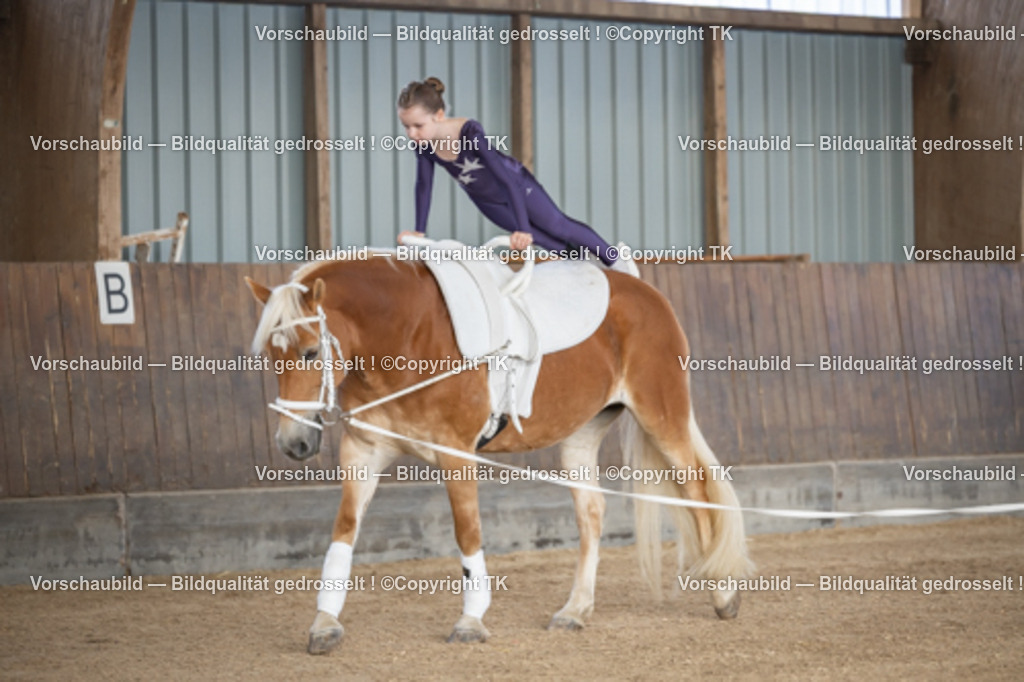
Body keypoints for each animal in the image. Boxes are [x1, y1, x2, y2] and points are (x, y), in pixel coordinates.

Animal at [245, 249, 753, 655]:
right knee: (592, 512)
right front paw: (324, 623)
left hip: (661, 417)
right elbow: (344, 531)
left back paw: (724, 596)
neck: (406, 334)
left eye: (311, 353)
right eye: (270, 356)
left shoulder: (455, 452)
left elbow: (467, 532)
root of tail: (643, 289)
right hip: (582, 436)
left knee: (697, 493)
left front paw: (471, 620)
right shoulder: (363, 451)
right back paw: (576, 610)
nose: (293, 444)